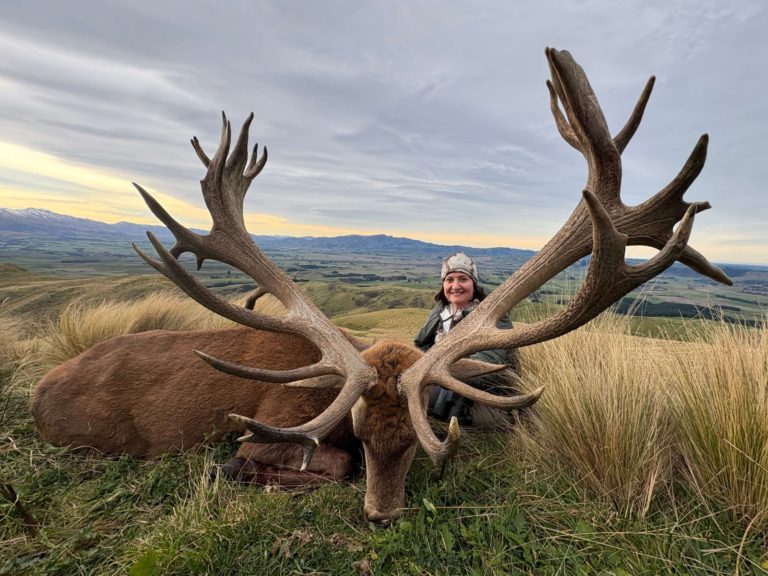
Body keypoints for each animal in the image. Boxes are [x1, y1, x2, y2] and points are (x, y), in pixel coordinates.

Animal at [31, 48, 732, 526]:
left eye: (419, 445)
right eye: (363, 435)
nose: (382, 514)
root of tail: (39, 390)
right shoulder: (270, 425)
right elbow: (300, 461)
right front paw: (245, 471)